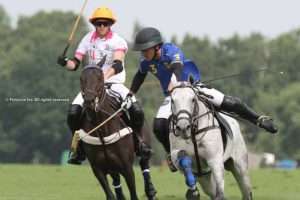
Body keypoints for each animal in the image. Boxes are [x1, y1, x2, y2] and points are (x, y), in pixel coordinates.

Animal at [78, 63, 156, 200]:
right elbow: (110, 195)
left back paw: (150, 190)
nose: (89, 101)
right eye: (81, 79)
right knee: (116, 181)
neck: (102, 131)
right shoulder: (97, 169)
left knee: (144, 162)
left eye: (100, 78)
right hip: (111, 167)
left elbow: (134, 194)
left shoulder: (127, 167)